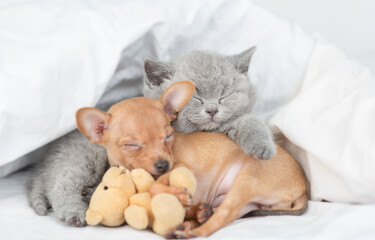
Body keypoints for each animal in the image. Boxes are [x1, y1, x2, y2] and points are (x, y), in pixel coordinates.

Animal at [76, 81, 308, 238]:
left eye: (169, 136)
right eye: (132, 145)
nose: (163, 165)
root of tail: (304, 189)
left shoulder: (182, 167)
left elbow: (155, 187)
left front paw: (178, 195)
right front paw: (193, 209)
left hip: (247, 181)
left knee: (222, 218)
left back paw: (192, 231)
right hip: (244, 201)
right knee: (222, 213)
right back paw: (194, 221)